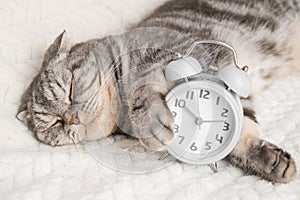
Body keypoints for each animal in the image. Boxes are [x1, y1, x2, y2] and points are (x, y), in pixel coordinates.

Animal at [17, 0, 298, 184]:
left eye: (71, 88)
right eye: (55, 124)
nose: (71, 119)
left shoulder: (177, 56)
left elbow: (145, 91)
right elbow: (238, 133)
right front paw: (268, 161)